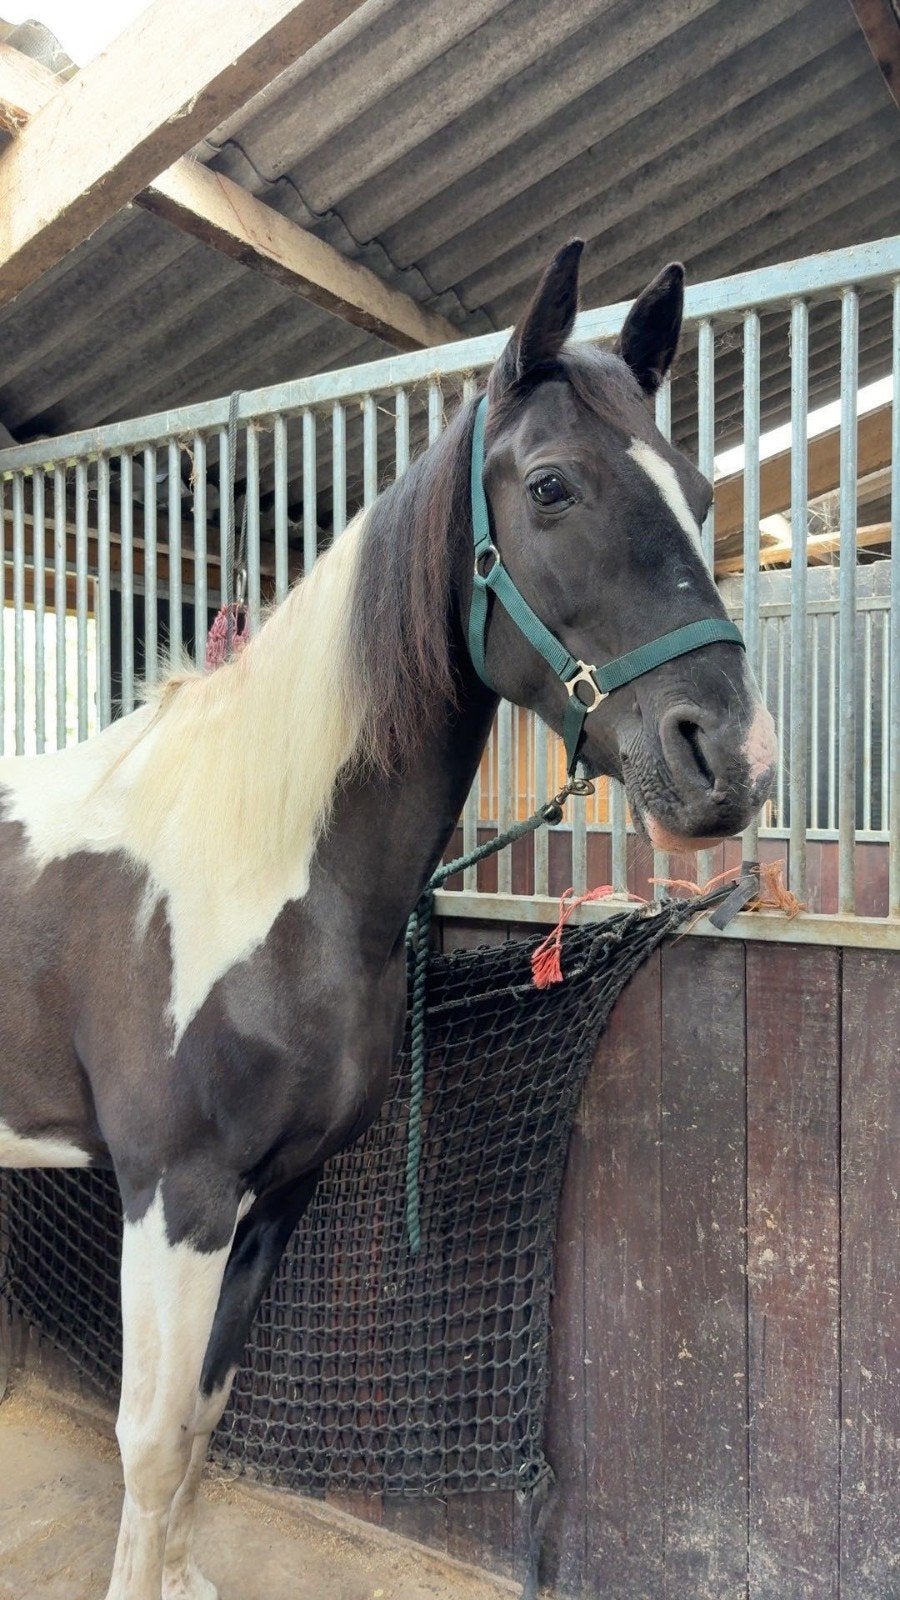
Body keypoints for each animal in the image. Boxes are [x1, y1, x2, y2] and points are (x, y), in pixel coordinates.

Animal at [0, 240, 776, 1600]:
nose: (730, 758)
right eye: (552, 485)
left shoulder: (277, 1192)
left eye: (695, 489)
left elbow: (203, 1420)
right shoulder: (172, 1191)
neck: (258, 868)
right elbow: (149, 1440)